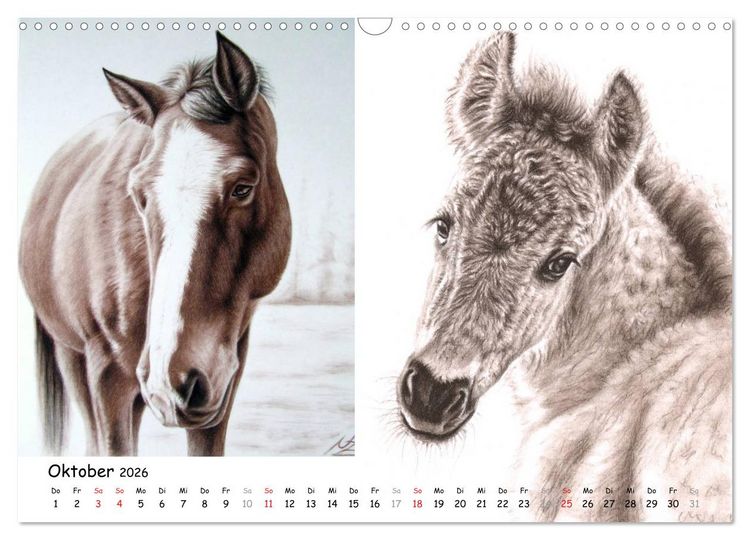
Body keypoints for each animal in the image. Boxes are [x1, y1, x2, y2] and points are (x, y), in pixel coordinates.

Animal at [20, 32, 291, 456]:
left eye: (243, 188)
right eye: (139, 195)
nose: (172, 381)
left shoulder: (223, 382)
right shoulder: (108, 377)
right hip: (73, 358)